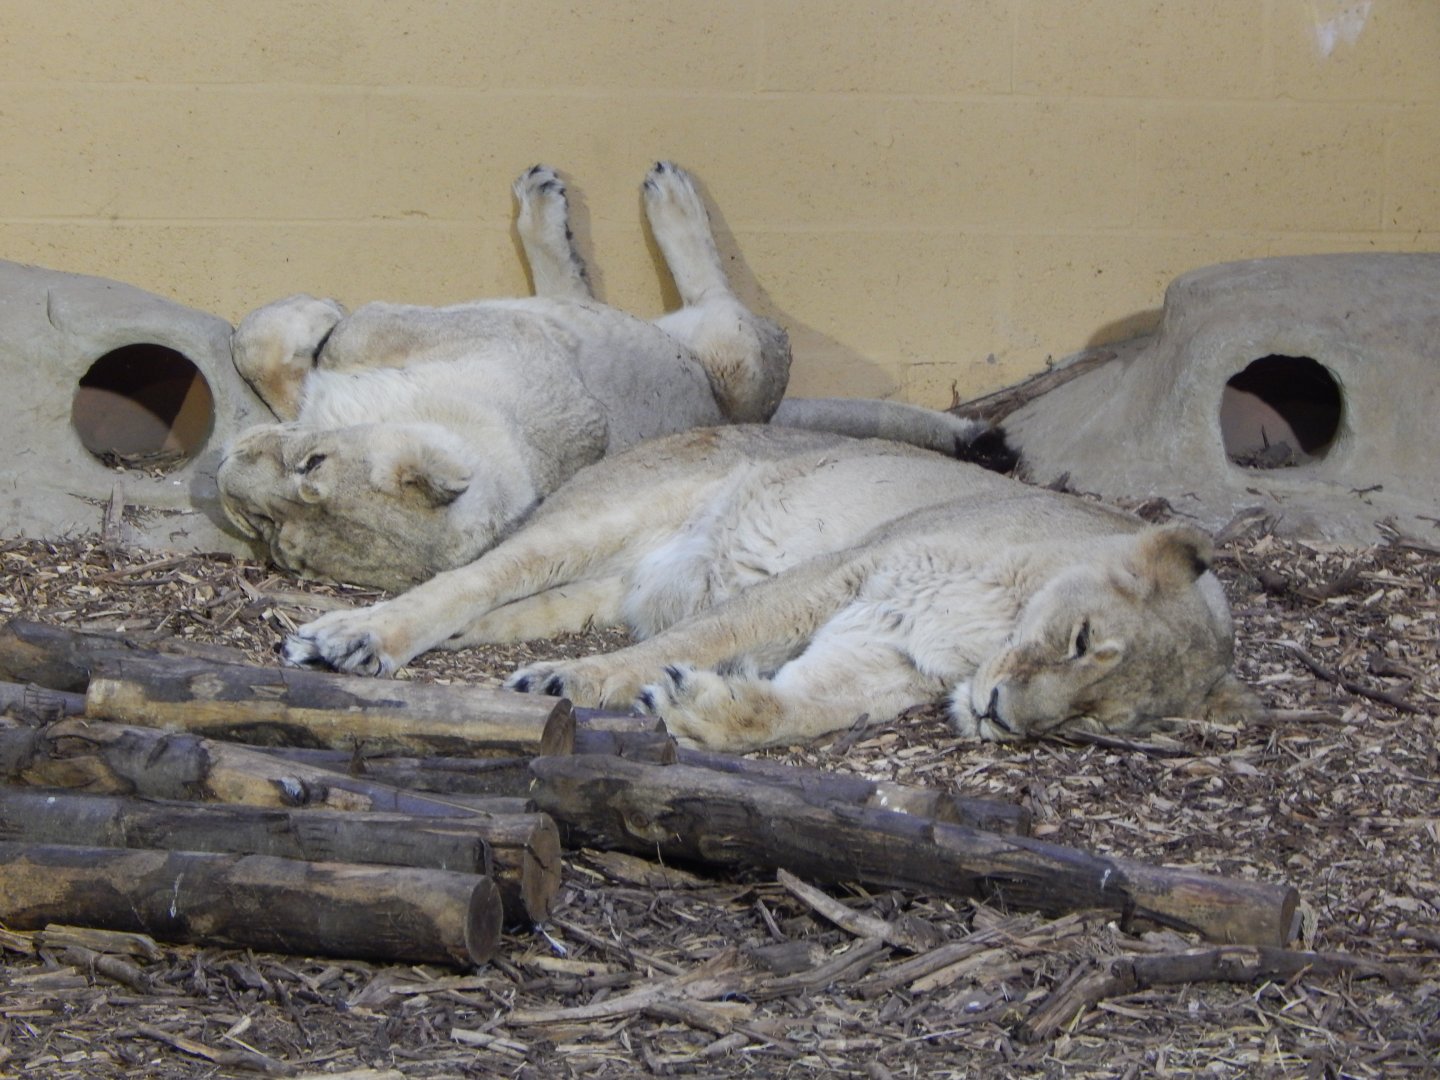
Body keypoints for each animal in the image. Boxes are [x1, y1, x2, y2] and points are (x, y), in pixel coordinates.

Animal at [218, 162, 1002, 590]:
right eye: (271, 536)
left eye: (314, 467)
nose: (224, 477)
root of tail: (739, 413)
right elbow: (268, 357)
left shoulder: (479, 338)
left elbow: (329, 333)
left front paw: (316, 314)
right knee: (579, 291)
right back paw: (548, 208)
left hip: (732, 345)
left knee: (719, 296)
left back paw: (659, 194)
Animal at [280, 425, 1256, 750]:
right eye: (1085, 641)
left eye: (1098, 723)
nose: (1006, 719)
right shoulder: (851, 569)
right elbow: (701, 636)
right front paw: (583, 683)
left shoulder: (891, 654)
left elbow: (803, 707)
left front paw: (704, 712)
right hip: (602, 517)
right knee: (472, 575)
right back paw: (355, 637)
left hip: (595, 586)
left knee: (509, 606)